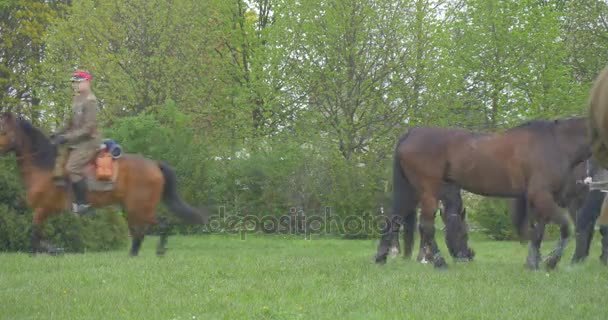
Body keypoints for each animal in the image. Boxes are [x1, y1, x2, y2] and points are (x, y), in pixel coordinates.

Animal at [0, 112, 209, 255]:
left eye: (4, 131)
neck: (45, 166)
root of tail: (154, 164)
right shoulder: (41, 210)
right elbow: (37, 236)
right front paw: (52, 249)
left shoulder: (44, 208)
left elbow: (35, 236)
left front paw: (48, 250)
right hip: (131, 208)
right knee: (139, 232)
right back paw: (133, 255)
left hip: (140, 207)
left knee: (160, 224)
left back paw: (159, 250)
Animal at [376, 117, 588, 270]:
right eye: (464, 234)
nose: (467, 256)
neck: (555, 143)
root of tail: (410, 134)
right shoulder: (541, 195)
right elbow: (565, 227)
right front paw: (551, 261)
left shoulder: (543, 198)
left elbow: (539, 230)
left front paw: (533, 262)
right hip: (428, 193)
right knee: (426, 226)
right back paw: (439, 262)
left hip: (410, 192)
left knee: (394, 218)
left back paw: (381, 258)